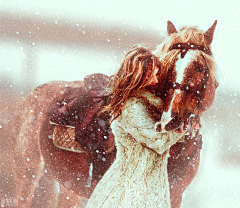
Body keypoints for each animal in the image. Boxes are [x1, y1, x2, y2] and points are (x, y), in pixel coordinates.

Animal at [10, 20, 218, 207]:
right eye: (168, 65)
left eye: (199, 67)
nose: (172, 120)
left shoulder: (175, 196)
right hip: (27, 177)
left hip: (69, 187)